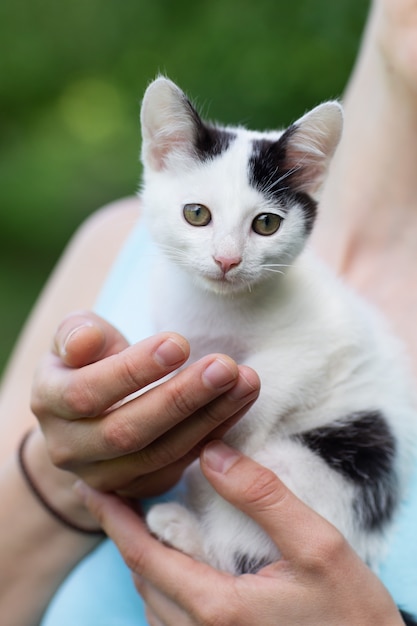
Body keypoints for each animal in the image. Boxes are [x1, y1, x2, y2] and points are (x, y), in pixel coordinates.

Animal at [138, 79, 414, 584]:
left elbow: (273, 376)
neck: (220, 308)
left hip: (316, 463)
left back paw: (181, 526)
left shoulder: (323, 340)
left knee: (235, 562)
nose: (227, 260)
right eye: (196, 214)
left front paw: (230, 437)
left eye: (266, 223)